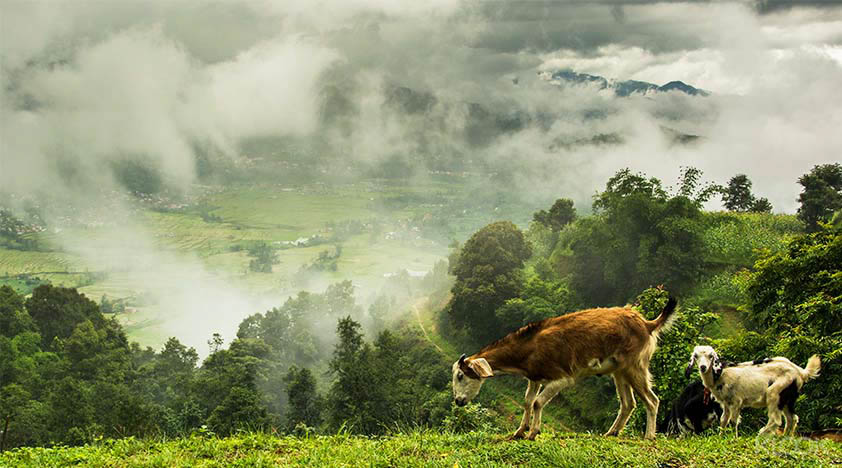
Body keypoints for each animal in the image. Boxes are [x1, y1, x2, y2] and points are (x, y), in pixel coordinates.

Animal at [452, 298, 676, 440]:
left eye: (461, 375)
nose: (458, 401)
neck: (530, 346)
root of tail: (646, 323)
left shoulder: (562, 377)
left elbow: (538, 402)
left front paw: (533, 432)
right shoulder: (534, 377)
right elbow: (528, 402)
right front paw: (520, 431)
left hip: (635, 366)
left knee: (652, 400)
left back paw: (649, 436)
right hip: (619, 370)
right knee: (628, 403)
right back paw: (611, 433)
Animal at [684, 344, 816, 438]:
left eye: (711, 356)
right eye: (696, 356)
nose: (703, 367)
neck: (720, 373)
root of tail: (800, 372)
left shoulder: (736, 401)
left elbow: (734, 421)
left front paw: (734, 438)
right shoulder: (726, 403)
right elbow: (723, 419)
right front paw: (721, 437)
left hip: (775, 393)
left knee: (776, 420)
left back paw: (761, 434)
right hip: (787, 398)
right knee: (792, 418)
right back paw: (785, 437)